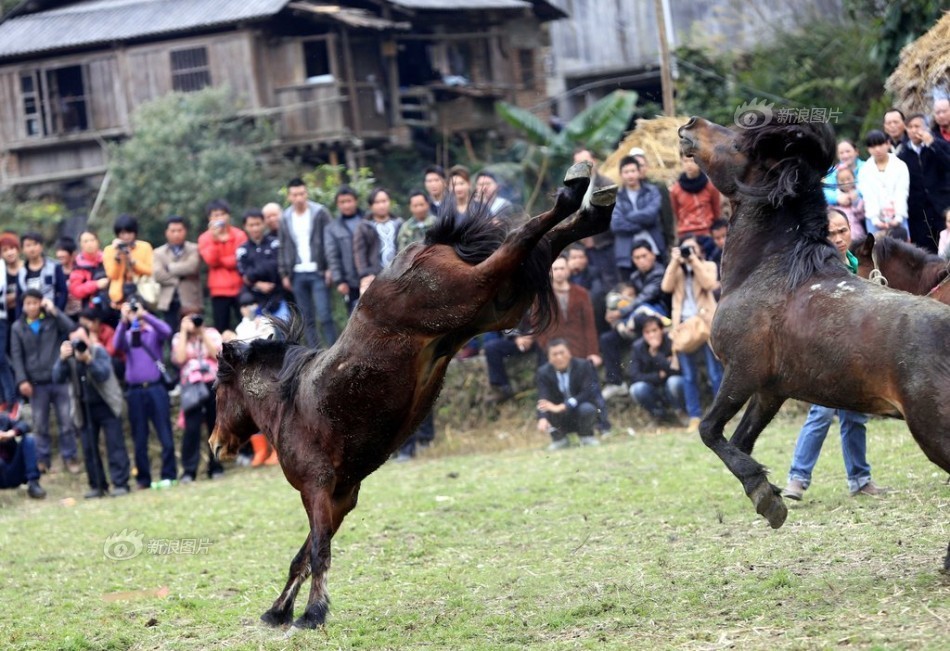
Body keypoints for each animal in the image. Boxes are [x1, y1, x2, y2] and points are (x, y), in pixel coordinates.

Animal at [209, 163, 618, 629]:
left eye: (217, 389)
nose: (216, 444)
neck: (290, 402)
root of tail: (427, 243)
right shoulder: (341, 497)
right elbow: (304, 556)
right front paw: (279, 610)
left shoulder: (317, 489)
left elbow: (317, 552)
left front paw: (312, 613)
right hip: (500, 303)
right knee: (544, 244)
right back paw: (594, 206)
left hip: (473, 292)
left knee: (519, 240)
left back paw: (575, 190)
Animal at [678, 116, 950, 571]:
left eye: (738, 142)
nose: (689, 124)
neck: (769, 270)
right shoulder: (771, 389)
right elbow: (740, 441)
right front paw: (767, 492)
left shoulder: (741, 372)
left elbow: (708, 430)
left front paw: (766, 498)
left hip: (934, 433)